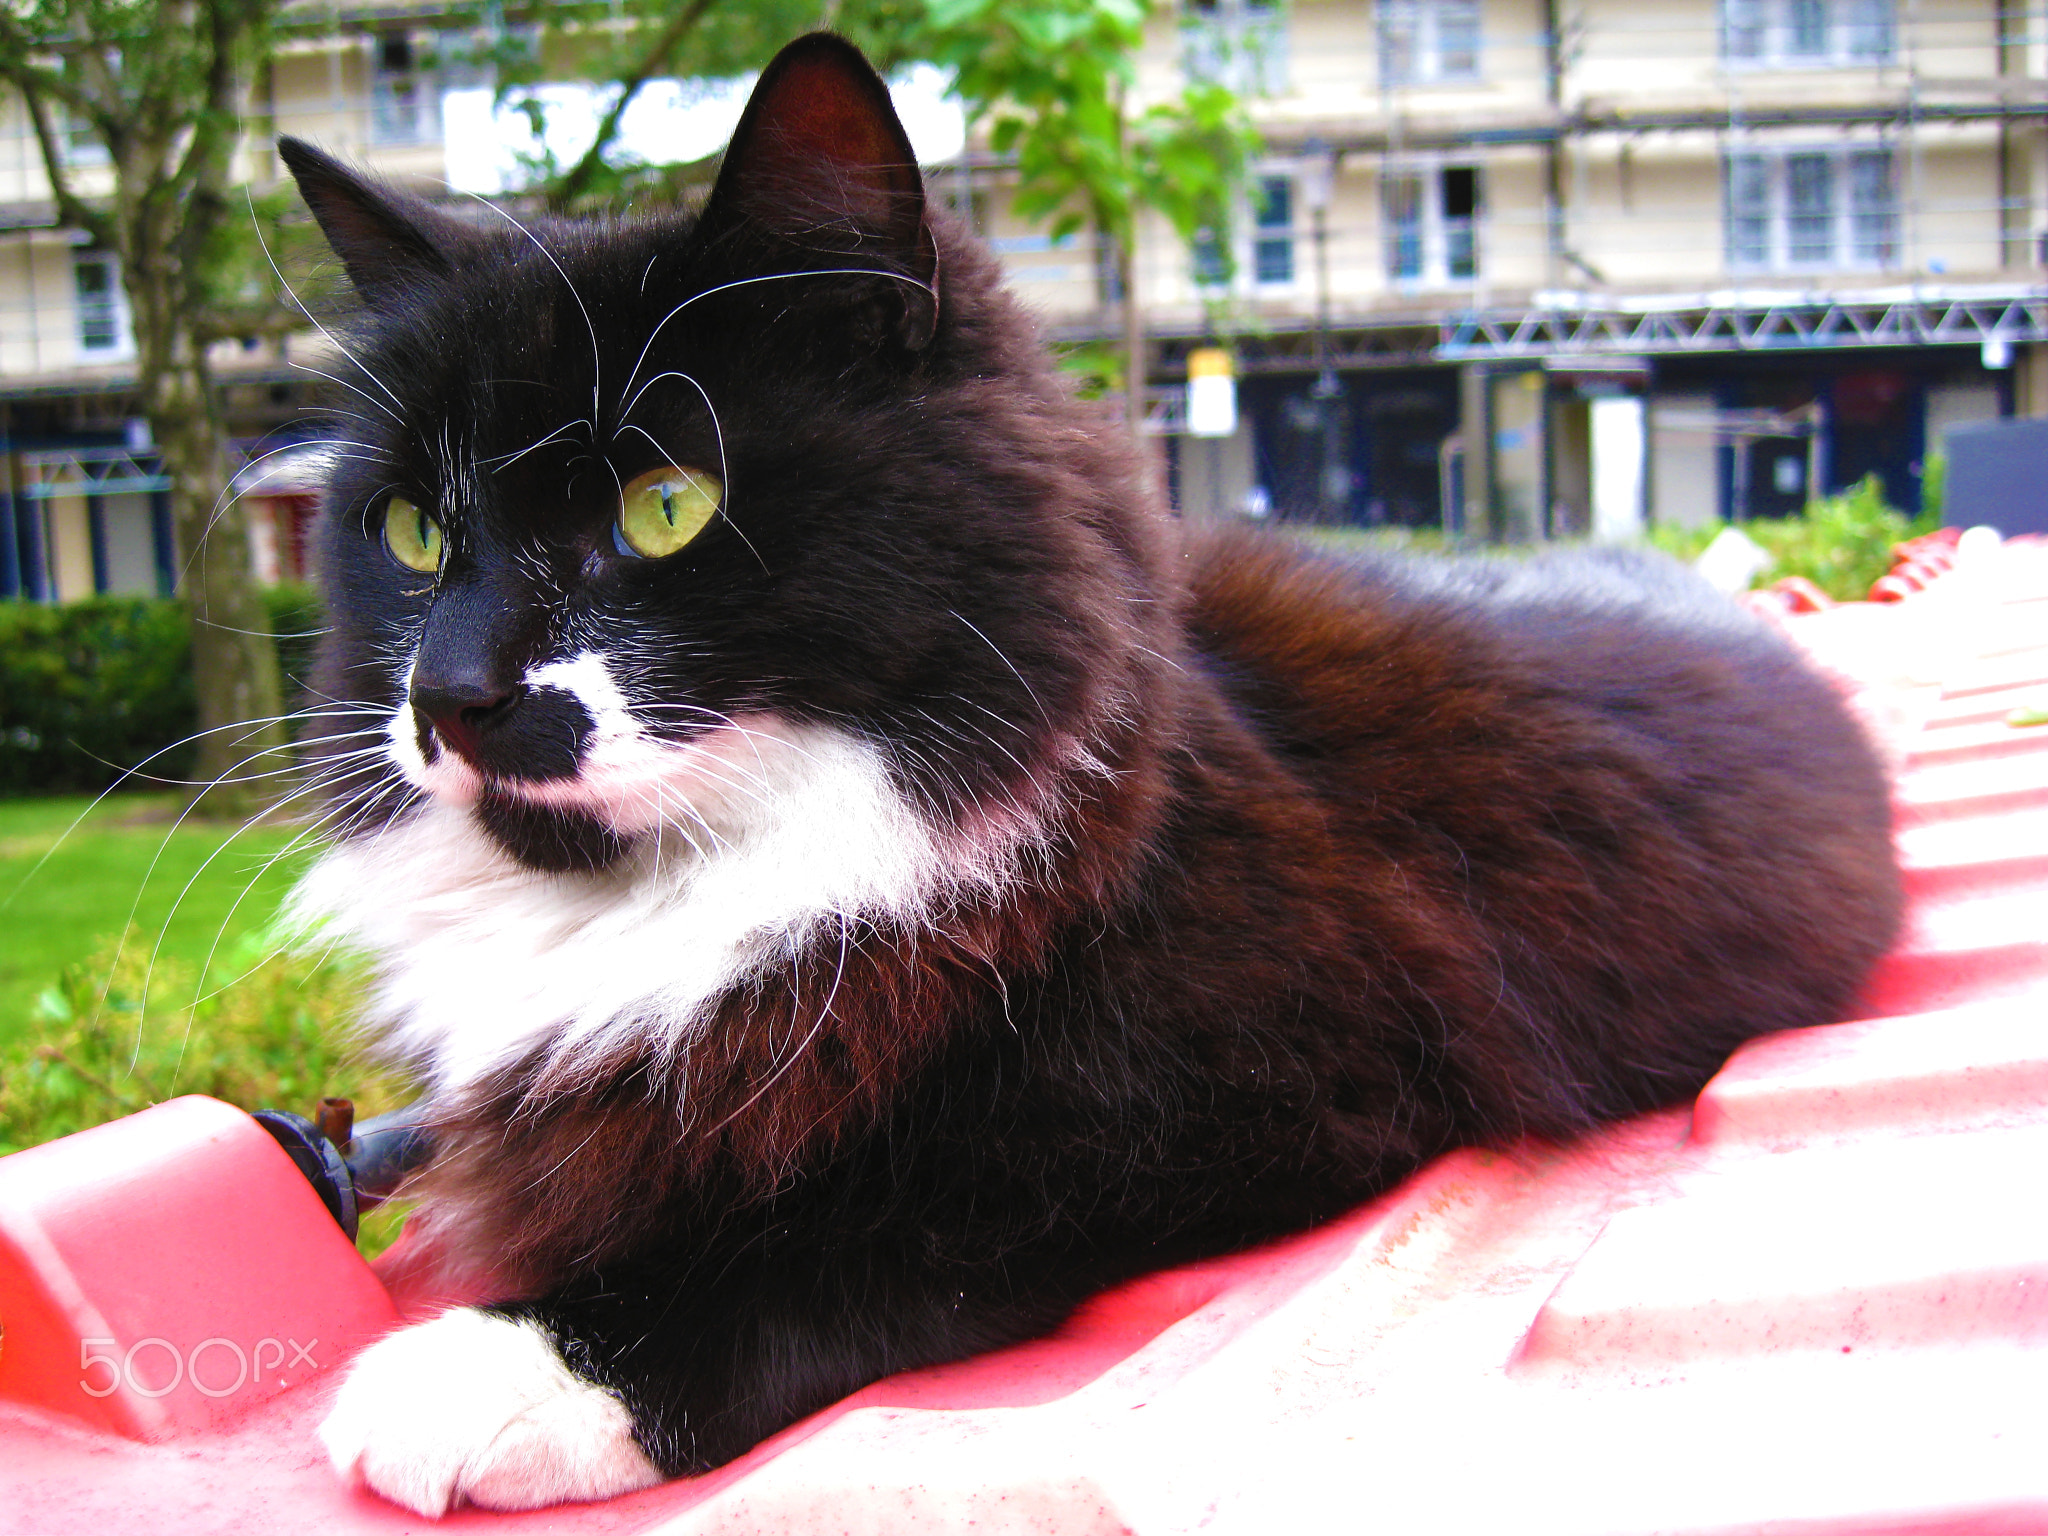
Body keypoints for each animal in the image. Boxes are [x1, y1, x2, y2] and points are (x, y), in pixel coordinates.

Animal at [280, 30, 1892, 1523]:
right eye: (415, 535)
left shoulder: (1275, 1080)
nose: (451, 694)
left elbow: (860, 1220)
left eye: (664, 507)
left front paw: (520, 1365)